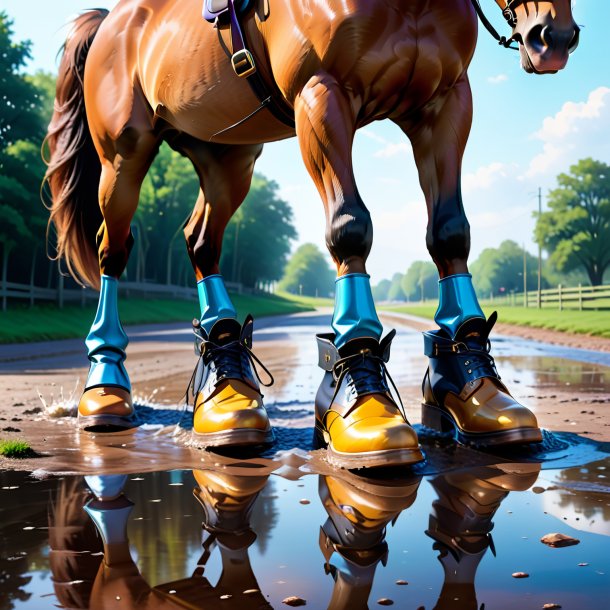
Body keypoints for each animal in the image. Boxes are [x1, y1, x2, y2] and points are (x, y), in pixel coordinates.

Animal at [45, 0, 576, 466]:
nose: (553, 34)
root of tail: (112, 19)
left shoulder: (444, 104)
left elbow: (449, 232)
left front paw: (478, 389)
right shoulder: (322, 95)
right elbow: (350, 226)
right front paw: (361, 377)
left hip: (226, 157)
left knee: (201, 242)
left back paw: (228, 393)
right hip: (123, 156)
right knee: (113, 251)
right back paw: (106, 383)